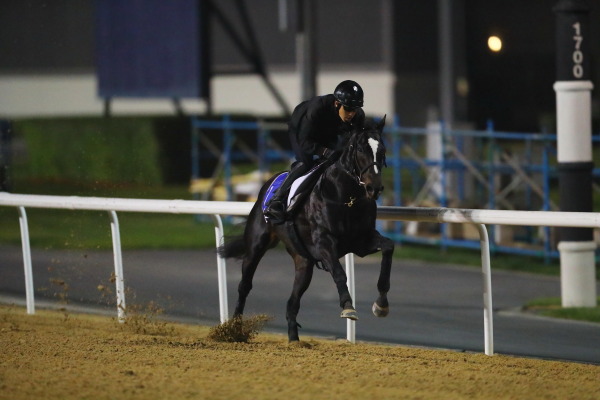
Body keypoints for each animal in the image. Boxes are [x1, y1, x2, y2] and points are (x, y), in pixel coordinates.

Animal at [218, 115, 396, 340]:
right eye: (360, 149)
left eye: (382, 150)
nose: (375, 188)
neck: (346, 198)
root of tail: (267, 184)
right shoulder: (324, 243)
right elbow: (340, 273)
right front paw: (348, 306)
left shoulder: (361, 241)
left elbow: (388, 247)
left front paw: (381, 304)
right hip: (256, 245)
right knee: (245, 285)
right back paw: (234, 328)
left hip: (303, 261)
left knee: (292, 302)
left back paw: (294, 340)